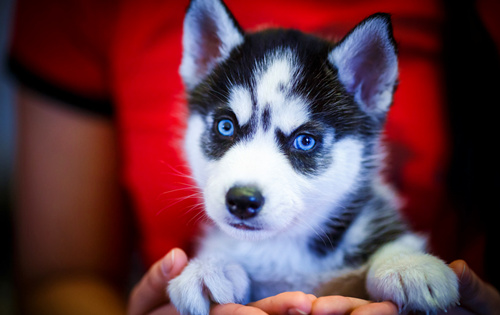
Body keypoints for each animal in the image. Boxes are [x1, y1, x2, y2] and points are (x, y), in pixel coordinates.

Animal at [169, 0, 460, 314]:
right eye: (225, 126)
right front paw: (211, 267)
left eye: (305, 141)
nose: (242, 200)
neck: (283, 246)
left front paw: (406, 264)